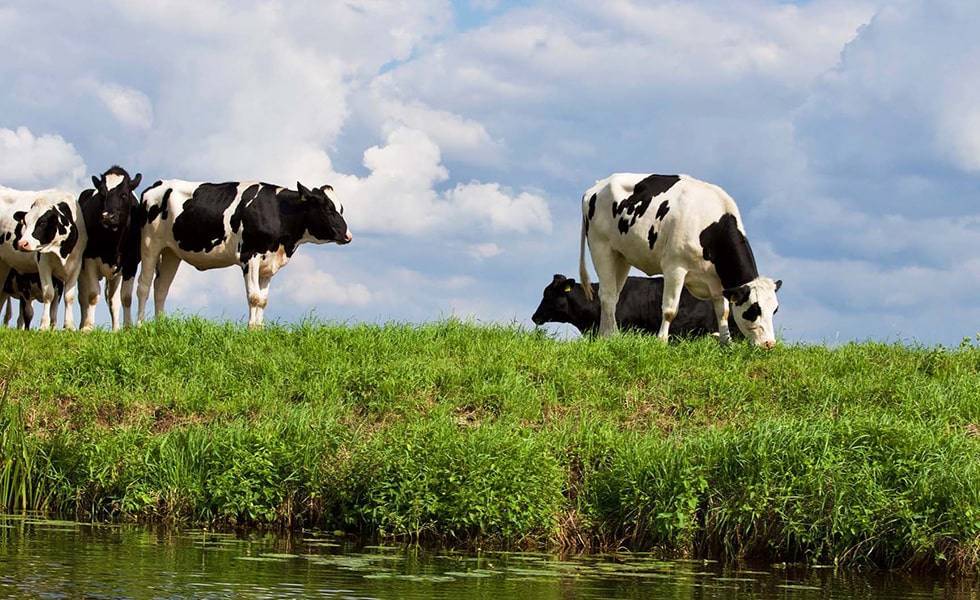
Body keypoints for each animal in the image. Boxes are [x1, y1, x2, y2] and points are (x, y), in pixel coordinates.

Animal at [0, 186, 85, 330]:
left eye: (43, 222)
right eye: (24, 222)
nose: (22, 243)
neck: (61, 251)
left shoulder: (76, 265)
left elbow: (69, 297)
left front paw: (69, 326)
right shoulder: (43, 264)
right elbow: (48, 294)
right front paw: (44, 326)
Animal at [78, 166, 143, 330]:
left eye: (124, 194)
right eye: (102, 194)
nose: (108, 216)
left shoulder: (131, 263)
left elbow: (125, 297)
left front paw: (127, 327)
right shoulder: (89, 260)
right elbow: (92, 295)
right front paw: (88, 327)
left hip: (116, 275)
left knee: (113, 300)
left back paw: (115, 329)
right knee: (82, 298)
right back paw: (81, 325)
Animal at [136, 179, 352, 328]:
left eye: (341, 208)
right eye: (327, 208)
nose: (348, 236)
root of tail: (157, 185)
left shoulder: (268, 263)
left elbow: (263, 300)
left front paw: (259, 329)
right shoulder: (250, 255)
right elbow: (254, 296)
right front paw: (251, 330)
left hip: (171, 252)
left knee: (161, 288)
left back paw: (160, 326)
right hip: (149, 245)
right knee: (144, 286)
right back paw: (139, 326)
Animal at [580, 173, 780, 350]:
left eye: (775, 310)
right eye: (754, 310)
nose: (769, 344)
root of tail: (596, 187)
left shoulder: (716, 282)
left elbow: (722, 312)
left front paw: (726, 343)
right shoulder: (674, 268)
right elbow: (670, 310)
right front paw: (661, 341)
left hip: (621, 255)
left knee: (614, 295)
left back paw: (606, 336)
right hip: (601, 247)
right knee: (606, 294)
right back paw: (610, 335)